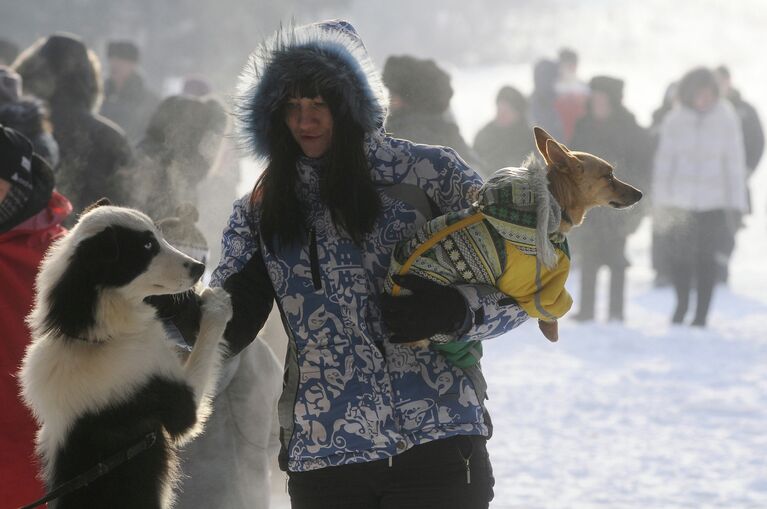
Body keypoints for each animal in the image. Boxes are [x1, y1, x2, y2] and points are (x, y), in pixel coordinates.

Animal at [20, 204, 231, 506]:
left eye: (158, 235)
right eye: (147, 246)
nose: (200, 267)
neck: (94, 339)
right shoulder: (178, 402)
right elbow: (206, 344)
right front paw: (216, 303)